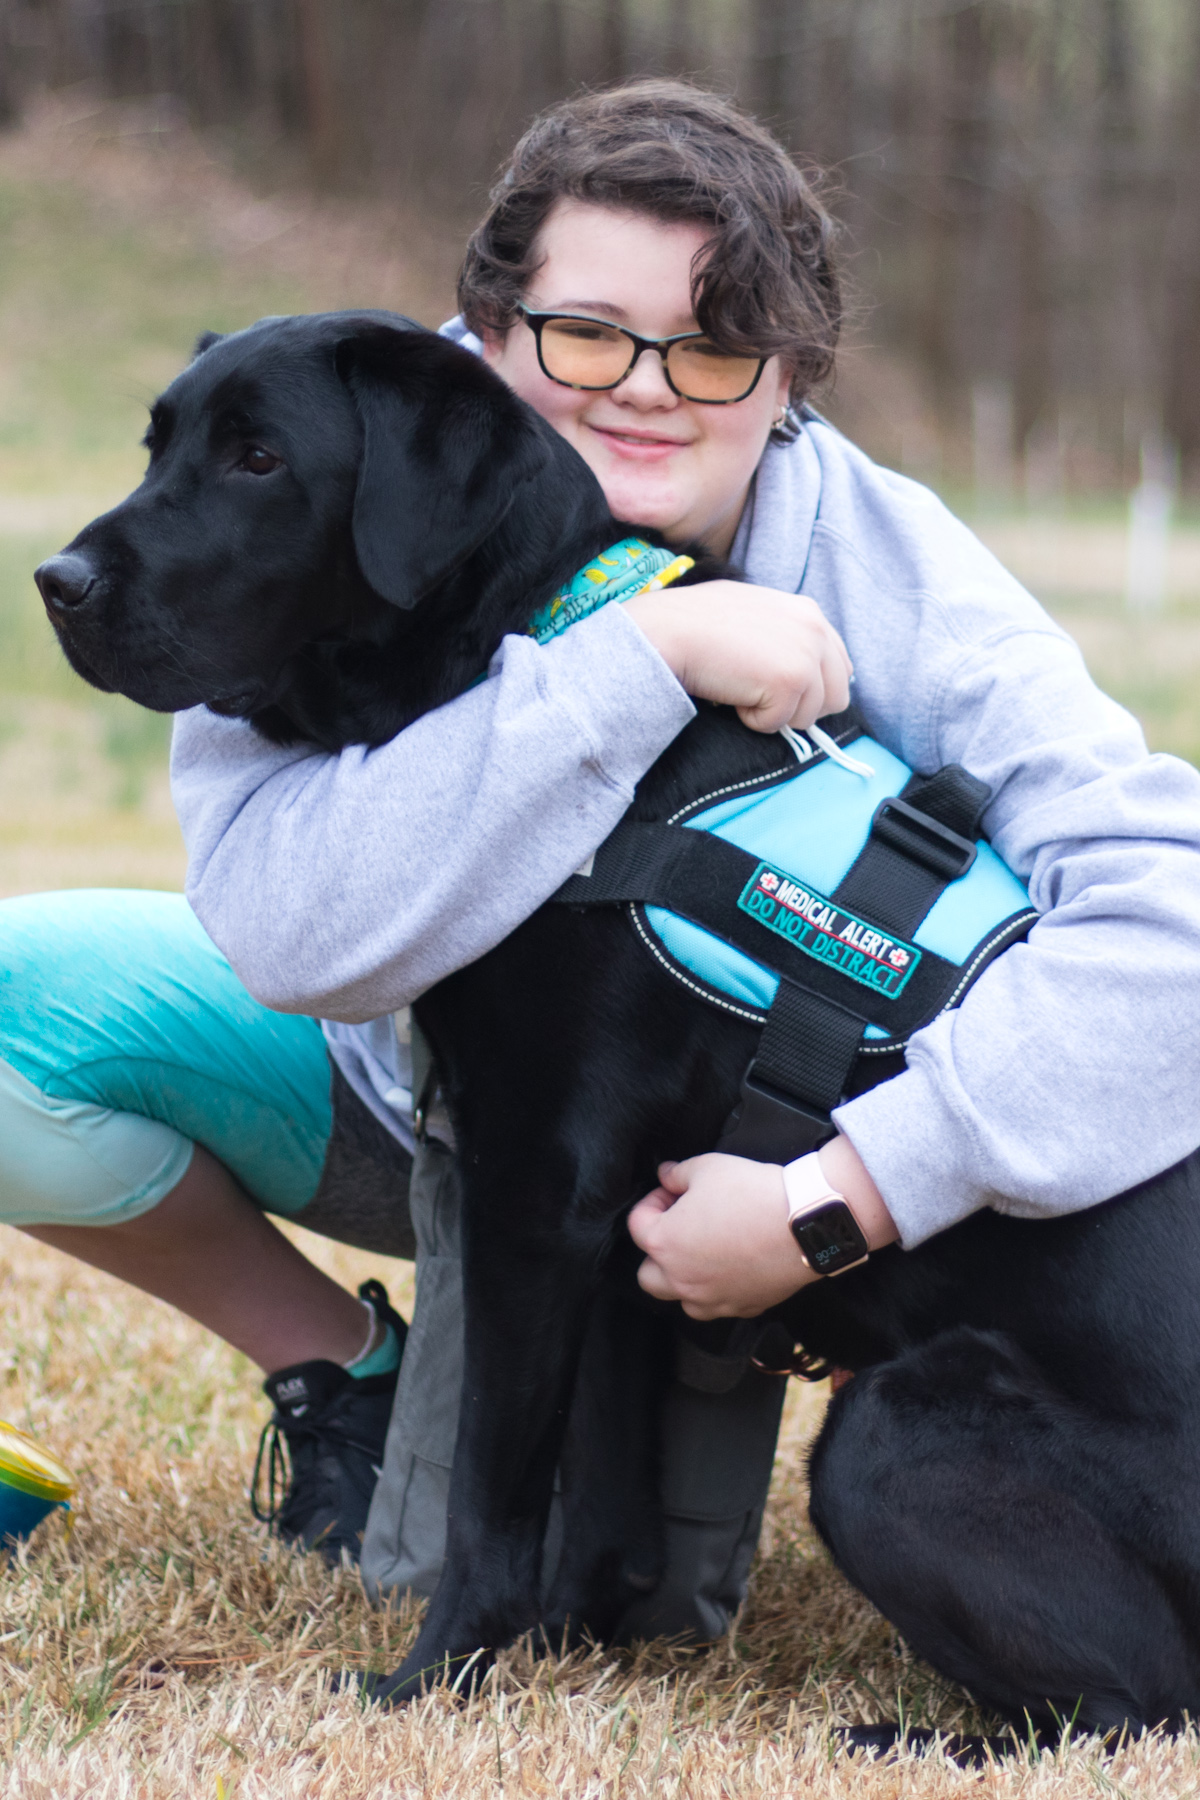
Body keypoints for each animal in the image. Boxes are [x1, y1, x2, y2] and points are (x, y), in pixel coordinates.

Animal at [32, 313, 1200, 1728]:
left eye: (259, 458)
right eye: (160, 443)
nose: (55, 581)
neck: (530, 640)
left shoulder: (539, 1188)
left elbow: (493, 1492)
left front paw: (433, 1676)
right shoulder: (632, 1225)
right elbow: (598, 1496)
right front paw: (565, 1647)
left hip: (889, 1429)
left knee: (1138, 1707)